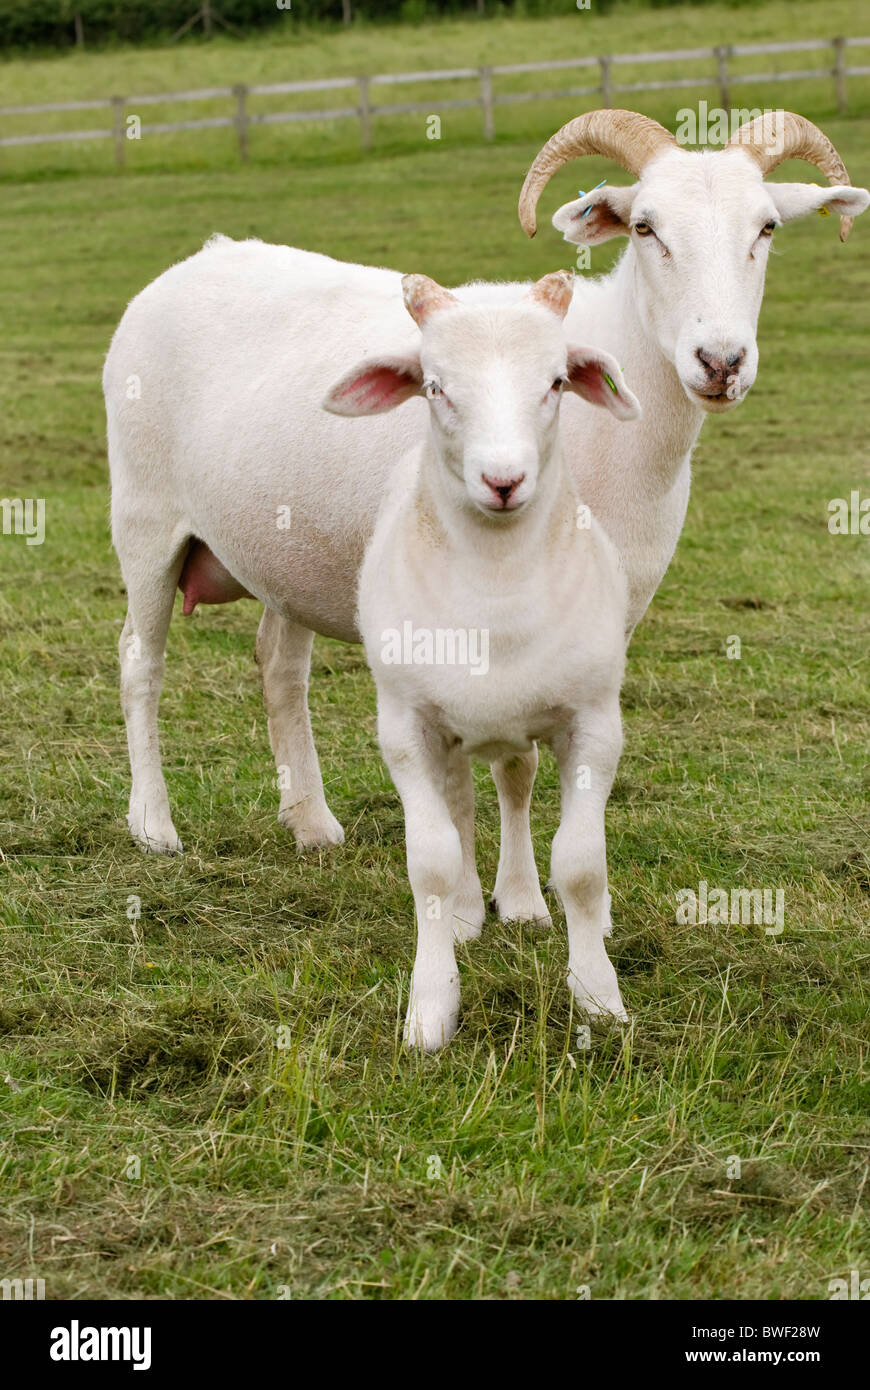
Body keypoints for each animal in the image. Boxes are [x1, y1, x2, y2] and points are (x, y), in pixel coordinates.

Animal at [322, 271, 639, 1045]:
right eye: (435, 386)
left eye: (556, 381)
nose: (503, 480)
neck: (496, 598)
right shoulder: (405, 728)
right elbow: (431, 863)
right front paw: (431, 1006)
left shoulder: (594, 723)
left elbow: (581, 864)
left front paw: (598, 997)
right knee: (463, 803)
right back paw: (469, 912)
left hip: (515, 725)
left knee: (514, 788)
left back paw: (523, 901)